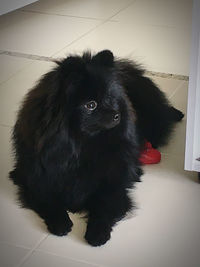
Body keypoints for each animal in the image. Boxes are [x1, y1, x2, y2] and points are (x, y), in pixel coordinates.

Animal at [9, 50, 184, 247]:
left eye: (109, 98)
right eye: (91, 105)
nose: (117, 115)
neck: (81, 145)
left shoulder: (114, 181)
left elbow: (104, 205)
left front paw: (97, 232)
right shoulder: (33, 177)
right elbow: (48, 200)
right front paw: (60, 223)